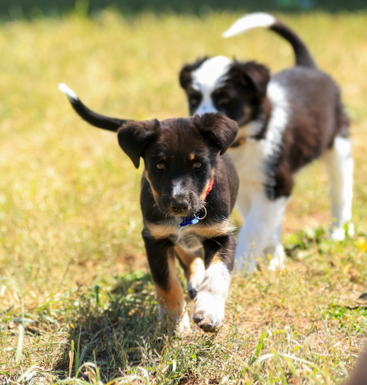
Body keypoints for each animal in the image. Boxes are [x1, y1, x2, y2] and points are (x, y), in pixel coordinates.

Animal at [59, 83, 240, 330]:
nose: (179, 204)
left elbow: (216, 276)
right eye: (159, 165)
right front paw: (174, 323)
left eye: (198, 164)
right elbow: (167, 283)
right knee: (186, 254)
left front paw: (209, 313)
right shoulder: (155, 237)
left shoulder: (222, 235)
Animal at [180, 12, 356, 270]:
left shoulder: (277, 183)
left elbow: (253, 228)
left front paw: (240, 266)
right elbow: (264, 223)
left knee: (340, 189)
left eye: (226, 99)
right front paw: (274, 258)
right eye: (193, 99)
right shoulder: (246, 186)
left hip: (337, 145)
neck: (245, 140)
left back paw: (339, 232)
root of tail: (308, 67)